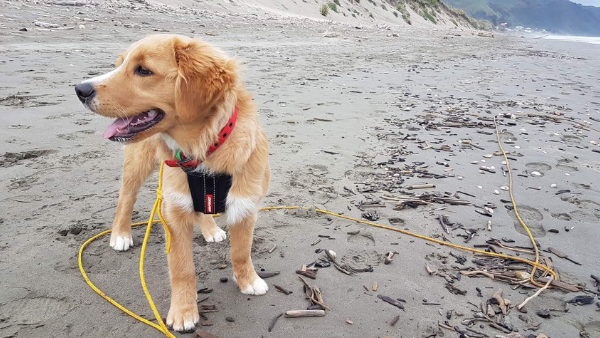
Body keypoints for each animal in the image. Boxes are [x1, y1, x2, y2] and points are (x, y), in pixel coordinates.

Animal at [74, 35, 270, 332]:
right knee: (125, 198)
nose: (80, 89)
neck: (204, 149)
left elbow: (241, 252)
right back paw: (120, 234)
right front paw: (183, 312)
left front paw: (248, 280)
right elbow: (182, 268)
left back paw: (210, 229)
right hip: (138, 163)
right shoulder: (173, 212)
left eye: (143, 70)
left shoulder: (245, 203)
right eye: (119, 65)